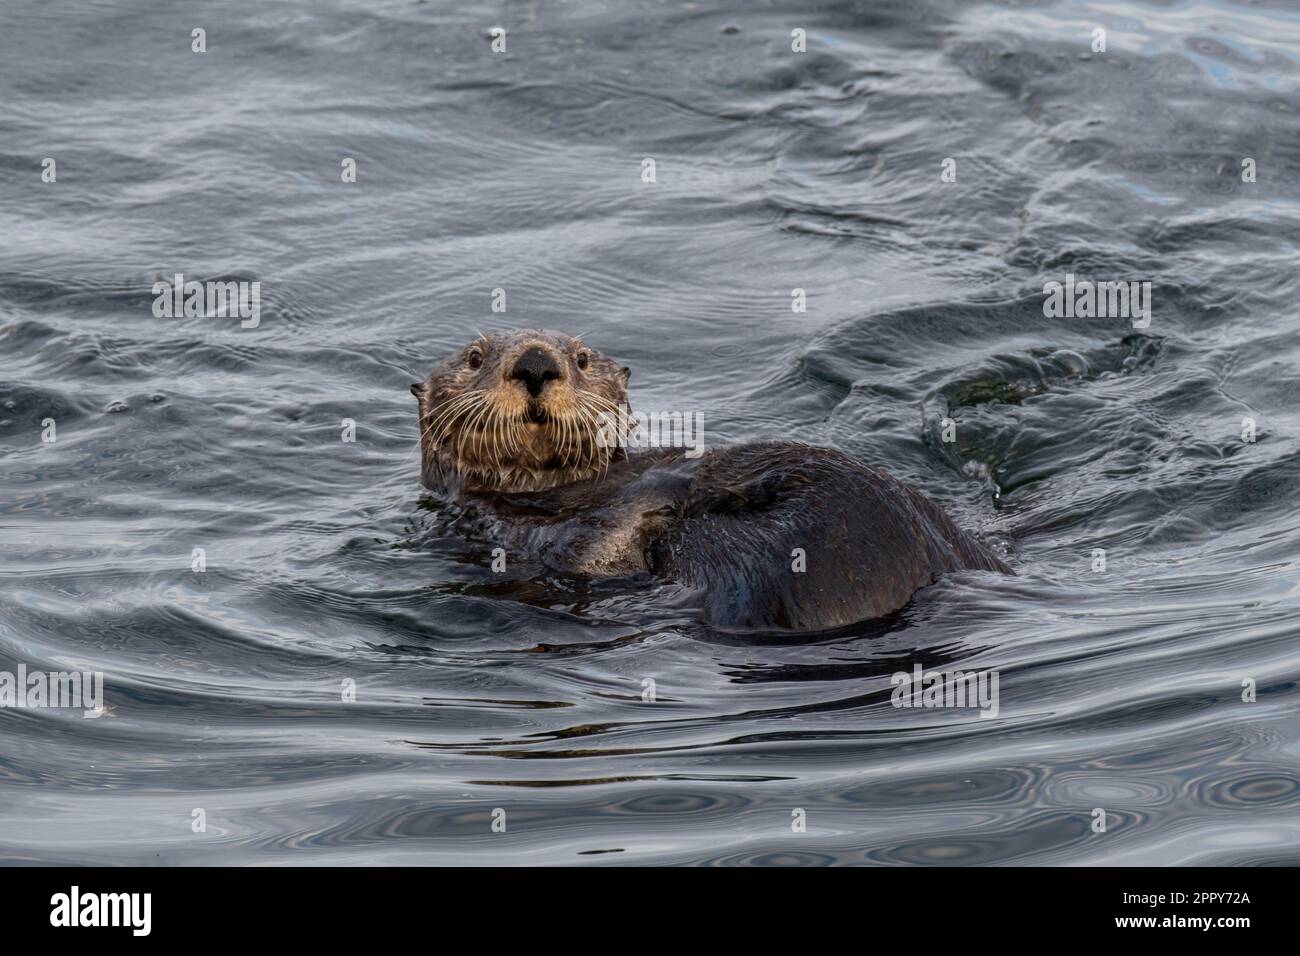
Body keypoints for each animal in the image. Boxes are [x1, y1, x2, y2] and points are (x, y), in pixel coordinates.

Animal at [411, 330, 1009, 630]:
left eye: (580, 358)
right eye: (475, 358)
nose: (536, 363)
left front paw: (692, 462)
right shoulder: (511, 529)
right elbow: (594, 548)